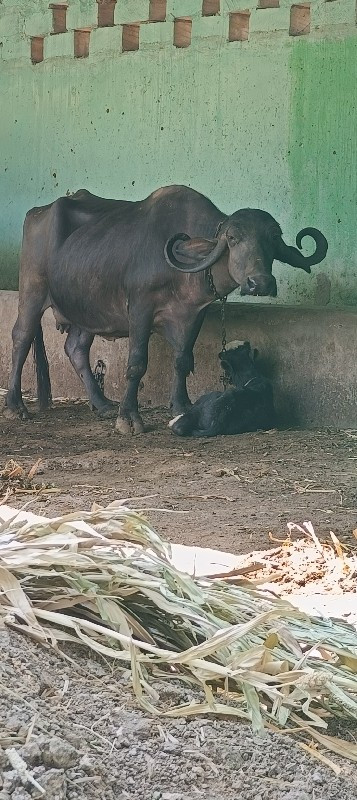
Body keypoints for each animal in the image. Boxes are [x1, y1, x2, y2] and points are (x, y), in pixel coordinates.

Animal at [5, 184, 326, 434]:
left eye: (273, 238)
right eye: (233, 239)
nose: (259, 282)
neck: (184, 271)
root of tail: (39, 212)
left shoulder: (193, 315)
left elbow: (183, 360)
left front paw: (181, 405)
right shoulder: (140, 309)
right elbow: (136, 364)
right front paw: (129, 418)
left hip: (87, 309)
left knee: (76, 348)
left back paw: (102, 404)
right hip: (33, 290)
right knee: (21, 337)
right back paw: (15, 405)